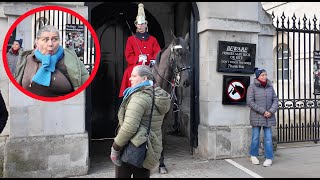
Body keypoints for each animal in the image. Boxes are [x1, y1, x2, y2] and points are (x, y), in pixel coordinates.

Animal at [151, 33, 191, 174]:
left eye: (189, 53)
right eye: (178, 53)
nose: (186, 81)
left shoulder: (166, 116)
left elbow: (161, 137)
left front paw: (161, 164)